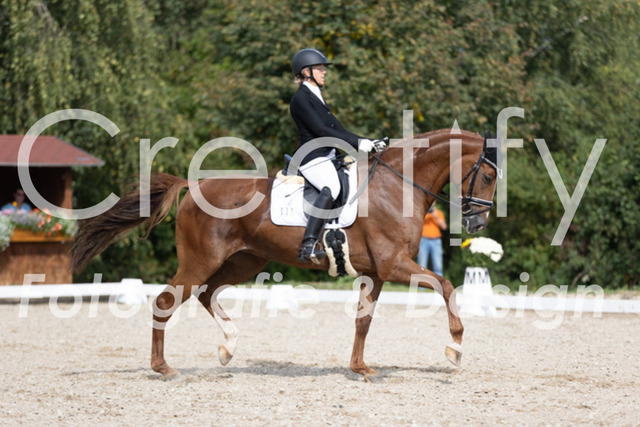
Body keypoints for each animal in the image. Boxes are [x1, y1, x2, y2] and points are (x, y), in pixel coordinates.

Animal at [72, 128, 500, 382]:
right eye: (489, 175)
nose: (478, 225)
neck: (397, 186)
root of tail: (193, 187)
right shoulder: (395, 265)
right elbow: (446, 286)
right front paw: (455, 348)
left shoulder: (377, 272)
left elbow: (363, 321)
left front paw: (361, 368)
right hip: (200, 261)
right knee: (166, 301)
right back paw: (165, 368)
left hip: (244, 261)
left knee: (207, 294)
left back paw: (228, 347)